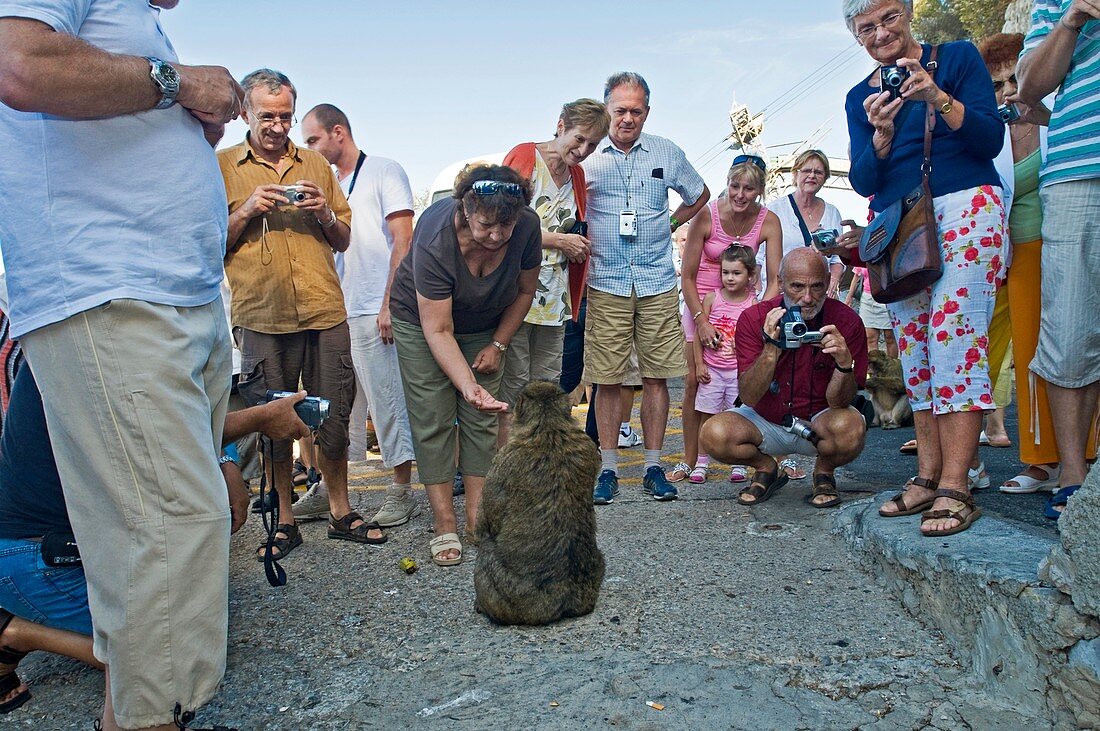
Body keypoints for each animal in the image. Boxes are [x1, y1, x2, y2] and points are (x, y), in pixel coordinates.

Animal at [473, 378, 607, 624]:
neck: (548, 426)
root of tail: (565, 597)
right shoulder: (589, 447)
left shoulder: (503, 458)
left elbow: (487, 524)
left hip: (511, 596)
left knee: (486, 549)